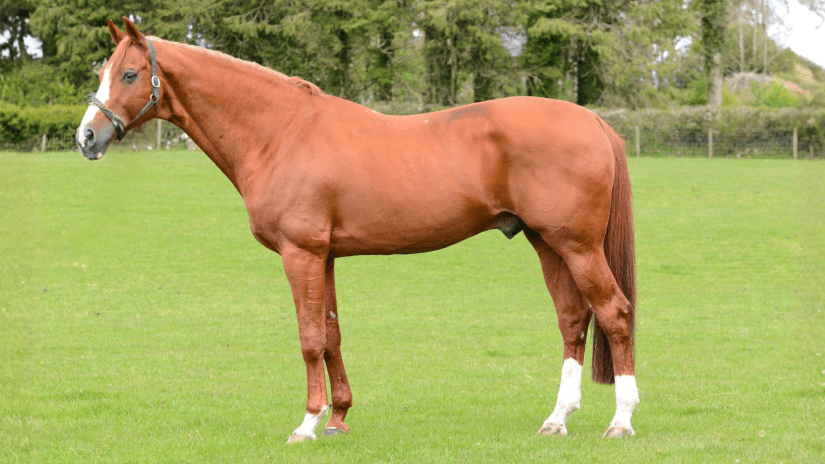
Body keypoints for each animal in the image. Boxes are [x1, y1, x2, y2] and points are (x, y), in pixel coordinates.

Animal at [76, 17, 639, 442]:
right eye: (104, 71)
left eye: (130, 74)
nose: (86, 137)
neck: (280, 133)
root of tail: (593, 120)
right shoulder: (323, 256)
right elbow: (331, 334)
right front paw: (339, 417)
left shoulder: (300, 253)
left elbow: (308, 337)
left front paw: (306, 424)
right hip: (548, 243)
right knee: (573, 320)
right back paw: (556, 419)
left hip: (578, 246)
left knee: (614, 313)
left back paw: (620, 421)